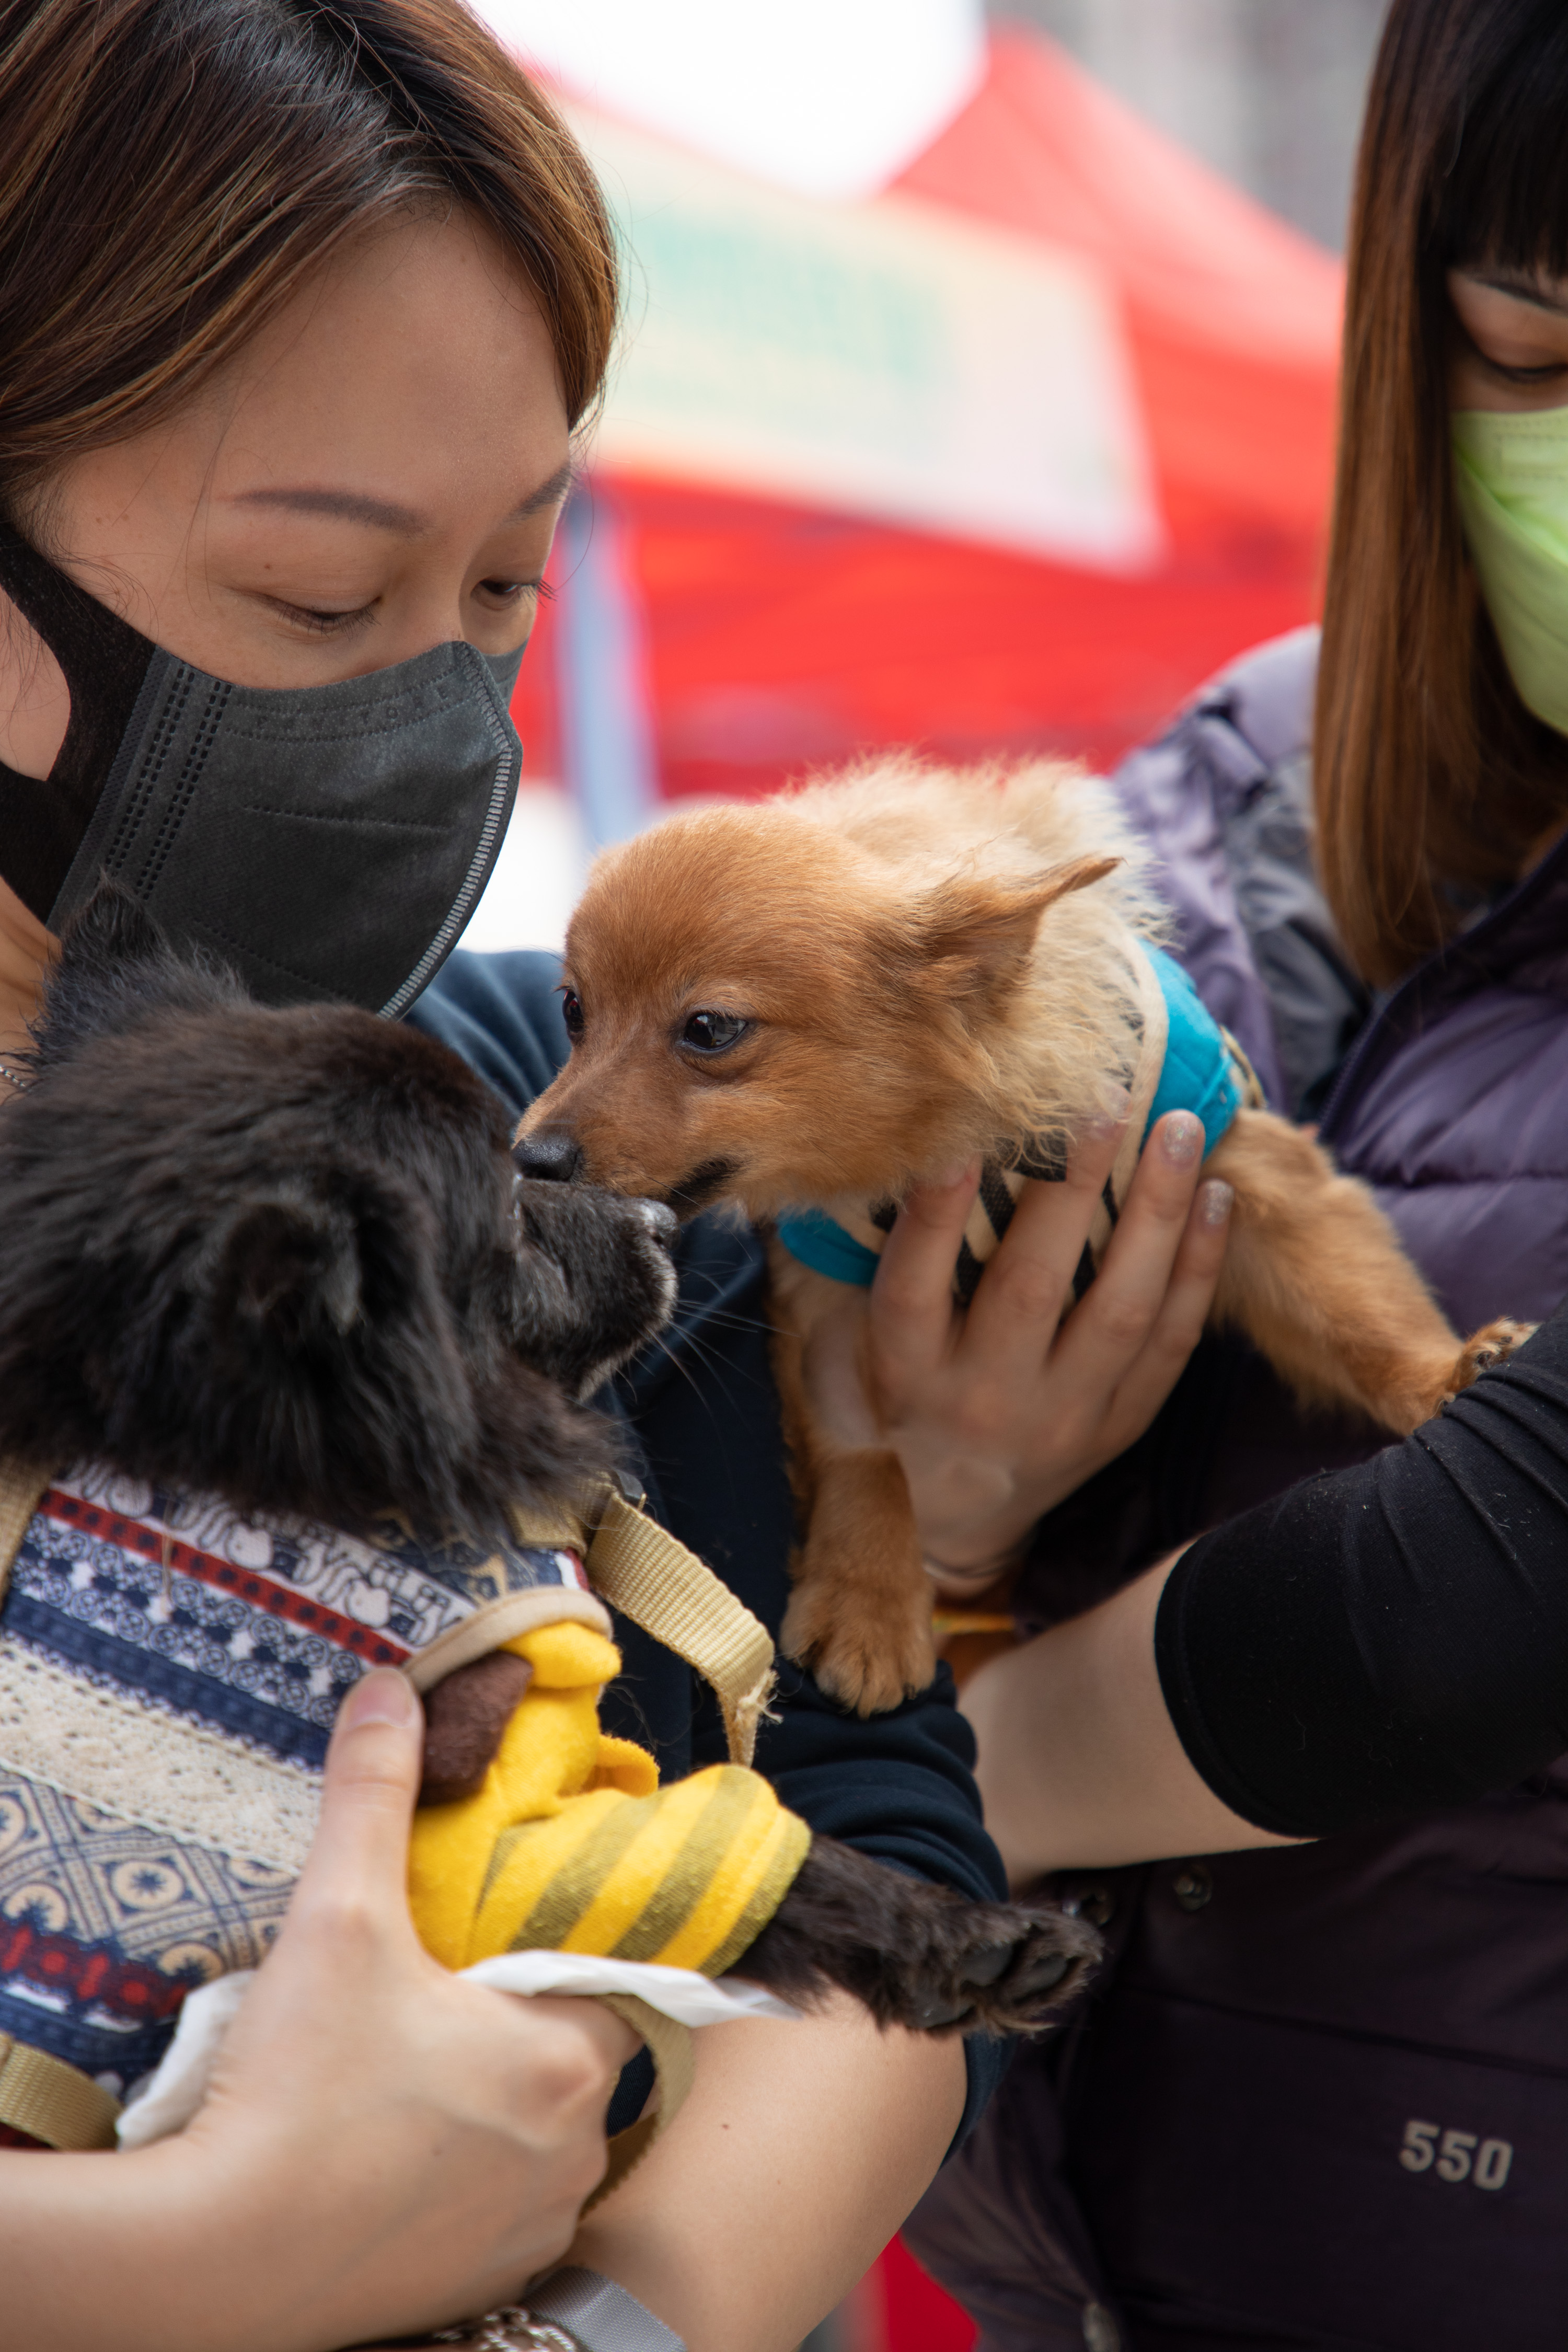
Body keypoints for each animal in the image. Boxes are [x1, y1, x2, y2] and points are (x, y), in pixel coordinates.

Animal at [0, 889, 1100, 2032]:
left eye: (526, 1162)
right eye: (513, 1219)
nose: (659, 1221)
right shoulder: (497, 1841)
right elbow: (765, 1868)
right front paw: (971, 1944)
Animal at [517, 767, 1532, 1712]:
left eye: (709, 1029)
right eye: (573, 1012)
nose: (533, 1155)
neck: (952, 1142)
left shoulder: (1248, 1171)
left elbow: (1357, 1309)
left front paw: (1443, 1373)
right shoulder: (828, 1300)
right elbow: (863, 1453)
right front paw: (868, 1603)